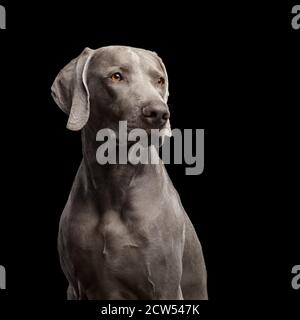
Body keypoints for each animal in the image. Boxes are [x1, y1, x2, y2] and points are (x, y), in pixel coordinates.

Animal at [51, 45, 206, 300]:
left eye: (159, 80)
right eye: (116, 76)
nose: (159, 113)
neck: (116, 181)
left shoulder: (166, 287)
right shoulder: (75, 287)